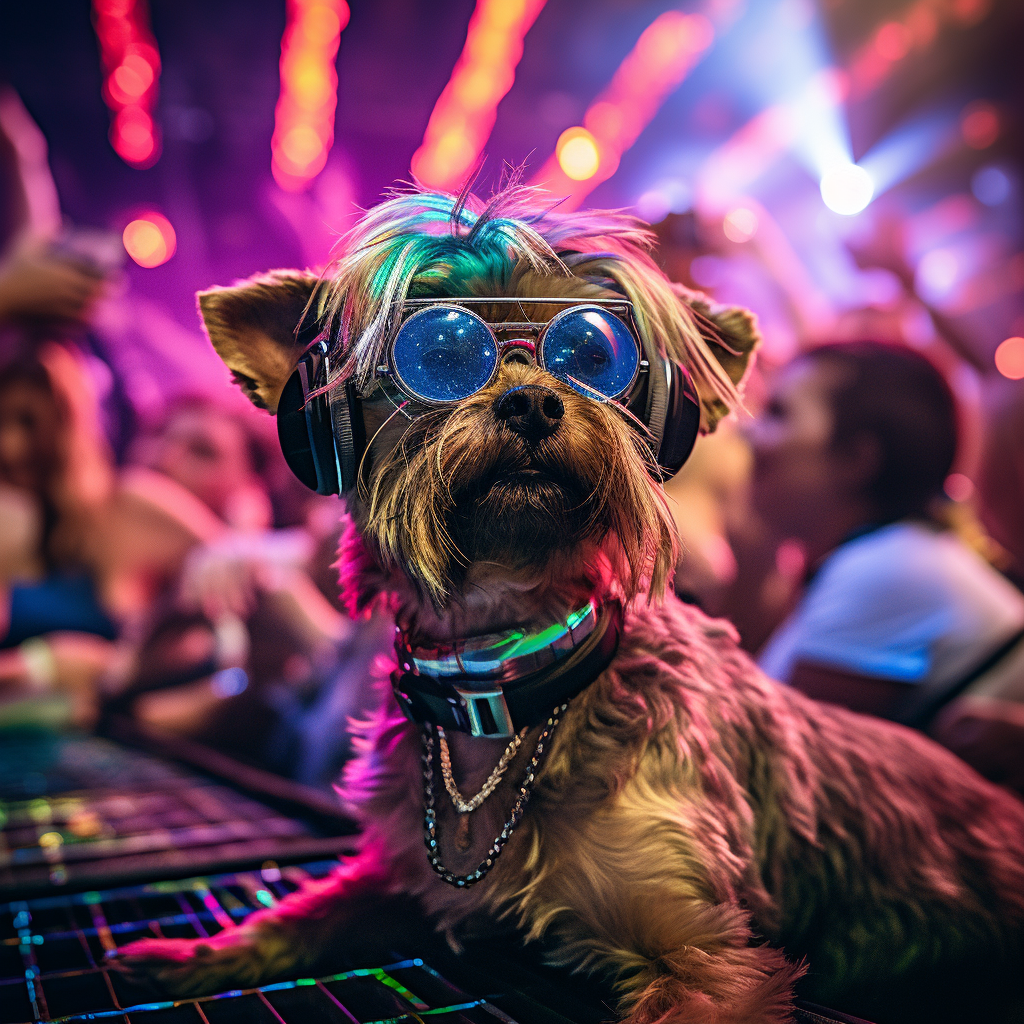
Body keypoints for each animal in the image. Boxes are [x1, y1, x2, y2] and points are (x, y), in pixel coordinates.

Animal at [119, 186, 1024, 1024]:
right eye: (440, 355)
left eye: (590, 355)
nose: (532, 401)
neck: (503, 673)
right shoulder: (399, 872)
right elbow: (306, 913)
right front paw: (192, 954)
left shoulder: (705, 956)